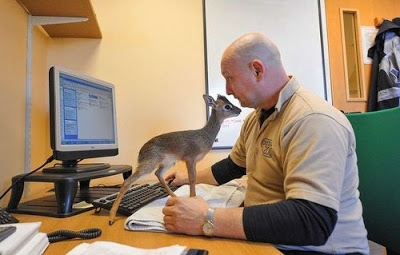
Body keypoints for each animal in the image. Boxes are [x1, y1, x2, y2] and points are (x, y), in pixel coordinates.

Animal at [108, 94, 241, 224]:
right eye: (227, 106)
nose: (239, 110)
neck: (204, 136)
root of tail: (140, 152)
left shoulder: (192, 161)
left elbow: (193, 178)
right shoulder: (190, 158)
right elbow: (192, 178)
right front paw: (192, 199)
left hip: (168, 162)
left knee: (158, 174)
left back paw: (175, 197)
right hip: (150, 163)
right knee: (128, 181)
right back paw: (111, 218)